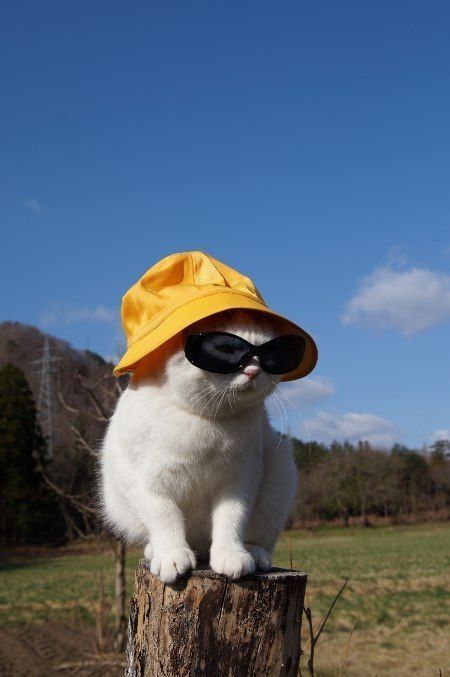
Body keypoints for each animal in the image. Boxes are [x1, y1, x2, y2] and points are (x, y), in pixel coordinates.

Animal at [99, 308, 298, 584]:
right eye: (225, 348)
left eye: (268, 354)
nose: (253, 371)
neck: (206, 420)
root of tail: (201, 549)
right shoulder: (144, 482)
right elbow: (165, 518)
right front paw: (172, 556)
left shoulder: (240, 481)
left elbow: (231, 521)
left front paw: (231, 556)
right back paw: (157, 552)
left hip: (279, 477)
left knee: (256, 538)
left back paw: (254, 555)